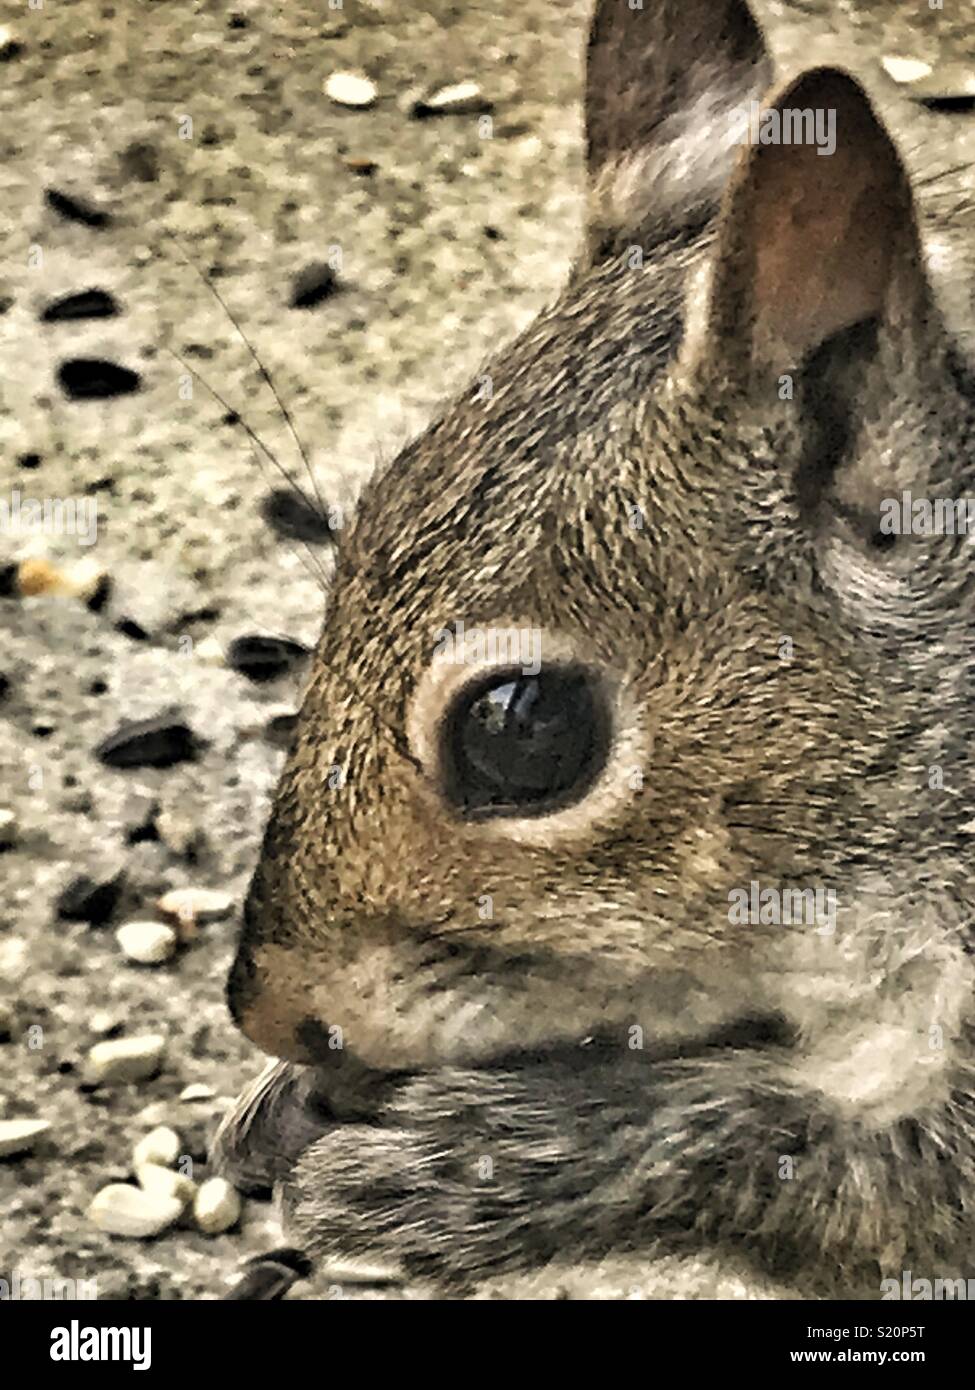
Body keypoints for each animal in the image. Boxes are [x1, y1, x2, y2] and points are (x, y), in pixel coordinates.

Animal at [214, 0, 975, 1297]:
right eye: (354, 535)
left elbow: (803, 1152)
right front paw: (282, 1101)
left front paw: (468, 1157)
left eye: (523, 732)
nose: (266, 1011)